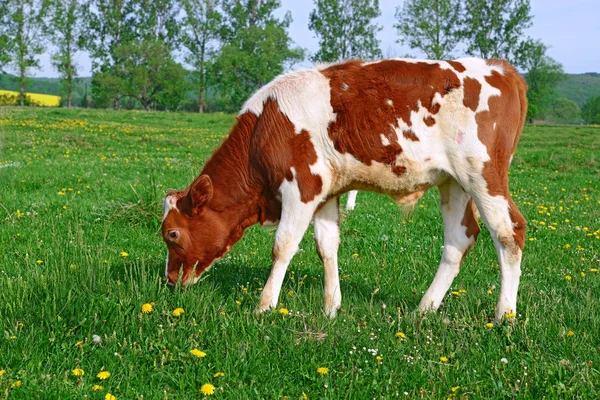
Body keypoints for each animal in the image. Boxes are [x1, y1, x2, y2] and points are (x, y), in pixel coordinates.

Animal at [162, 57, 528, 322]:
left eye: (172, 234)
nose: (170, 281)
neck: (266, 127)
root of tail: (501, 68)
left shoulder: (302, 187)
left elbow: (283, 246)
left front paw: (265, 305)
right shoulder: (326, 192)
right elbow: (327, 247)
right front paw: (330, 307)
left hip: (483, 175)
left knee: (508, 233)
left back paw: (504, 316)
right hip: (453, 182)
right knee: (458, 240)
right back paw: (424, 308)